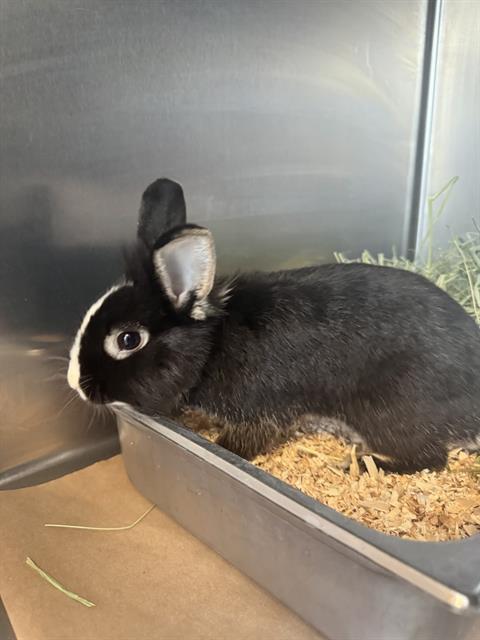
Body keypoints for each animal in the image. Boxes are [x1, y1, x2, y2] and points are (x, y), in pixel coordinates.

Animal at [67, 178, 480, 473]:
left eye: (128, 339)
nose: (74, 383)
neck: (213, 345)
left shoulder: (259, 412)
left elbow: (244, 442)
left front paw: (222, 448)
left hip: (388, 414)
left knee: (430, 459)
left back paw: (362, 466)